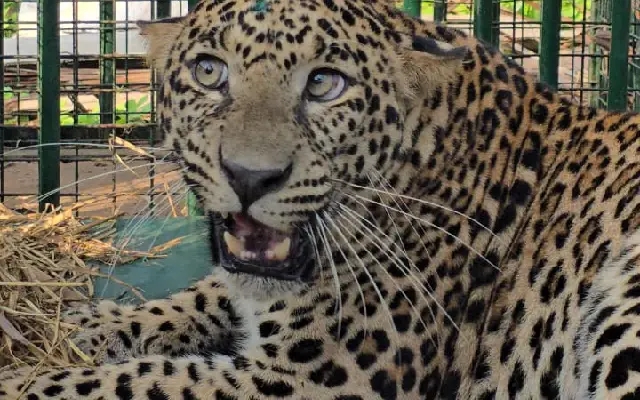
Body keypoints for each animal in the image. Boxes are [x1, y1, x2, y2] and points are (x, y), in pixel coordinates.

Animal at [1, 0, 640, 398]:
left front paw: (20, 384)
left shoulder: (323, 379)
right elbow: (200, 295)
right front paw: (85, 325)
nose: (250, 177)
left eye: (324, 84)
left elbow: (126, 382)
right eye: (209, 72)